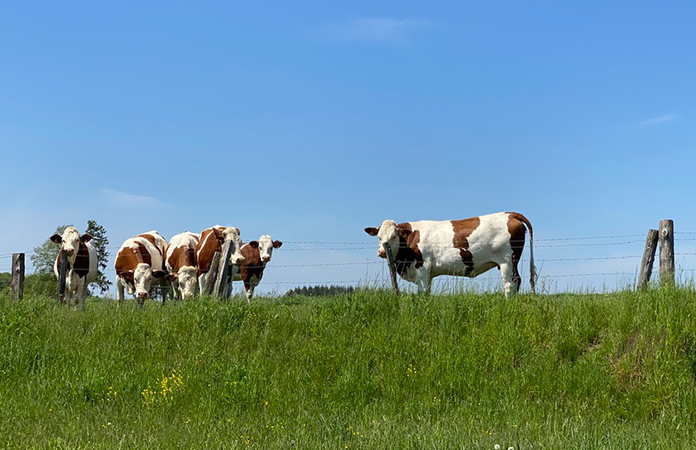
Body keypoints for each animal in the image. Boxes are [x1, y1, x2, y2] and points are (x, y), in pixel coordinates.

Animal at [364, 213, 540, 298]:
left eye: (394, 236)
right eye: (379, 237)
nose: (381, 252)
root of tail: (509, 214)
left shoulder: (422, 268)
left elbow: (422, 292)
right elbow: (427, 291)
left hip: (507, 261)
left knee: (510, 284)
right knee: (517, 281)